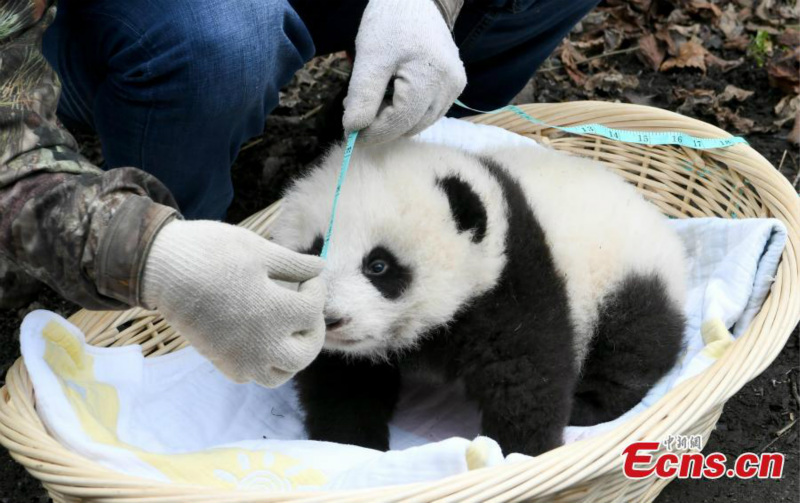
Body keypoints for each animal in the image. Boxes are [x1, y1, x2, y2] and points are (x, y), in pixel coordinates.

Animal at [271, 139, 687, 456]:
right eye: (313, 253)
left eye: (378, 266)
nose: (330, 319)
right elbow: (342, 381)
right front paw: (350, 445)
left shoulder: (511, 280)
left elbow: (524, 375)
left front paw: (519, 454)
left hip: (626, 275)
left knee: (632, 344)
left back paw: (587, 406)